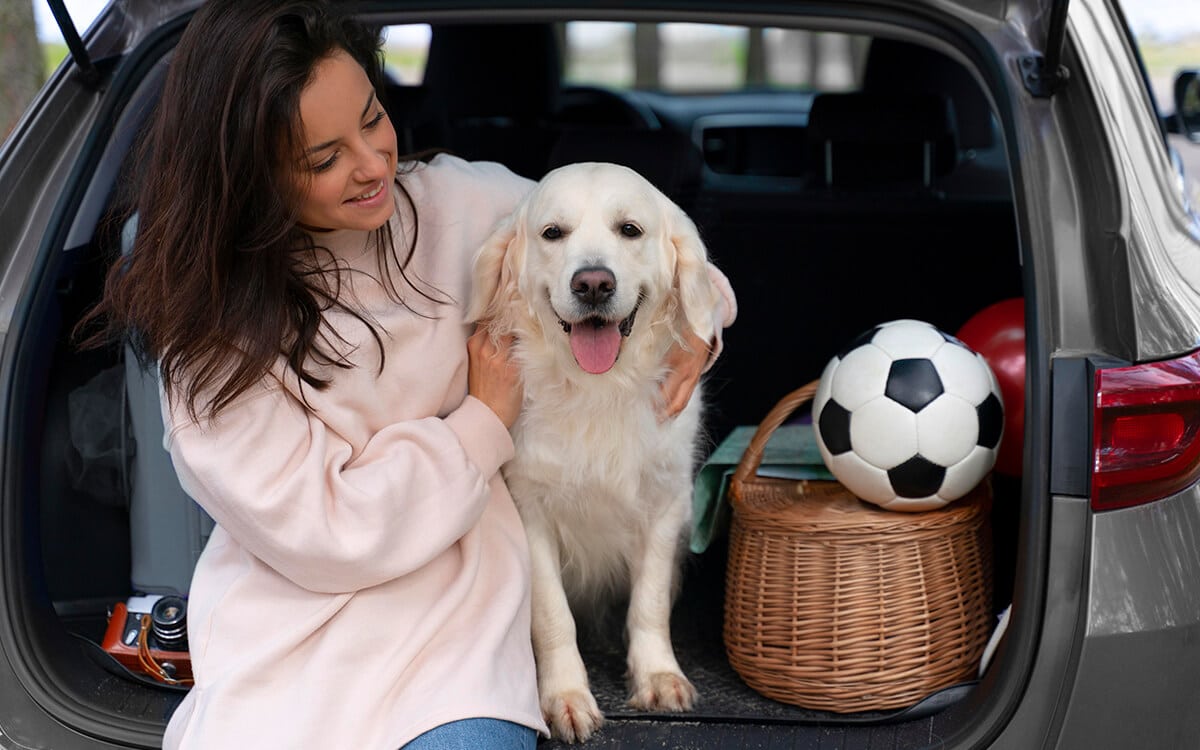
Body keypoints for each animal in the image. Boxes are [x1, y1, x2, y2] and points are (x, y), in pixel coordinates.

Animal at [468, 160, 724, 739]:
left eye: (629, 229)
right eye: (552, 233)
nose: (592, 283)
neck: (597, 389)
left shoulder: (666, 502)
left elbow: (649, 602)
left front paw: (658, 676)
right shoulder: (529, 511)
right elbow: (552, 616)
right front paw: (564, 696)